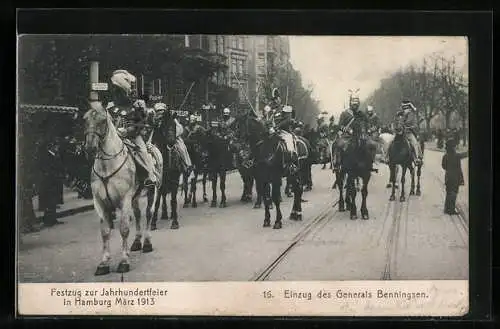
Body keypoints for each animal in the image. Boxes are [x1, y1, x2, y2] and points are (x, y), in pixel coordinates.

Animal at [83, 101, 162, 276]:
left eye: (102, 121)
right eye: (85, 119)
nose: (90, 147)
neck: (107, 165)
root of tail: (151, 145)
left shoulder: (124, 200)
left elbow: (124, 229)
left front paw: (124, 261)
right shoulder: (100, 203)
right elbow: (105, 231)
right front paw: (104, 263)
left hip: (152, 192)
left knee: (148, 214)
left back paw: (147, 243)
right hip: (135, 197)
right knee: (138, 215)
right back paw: (137, 242)